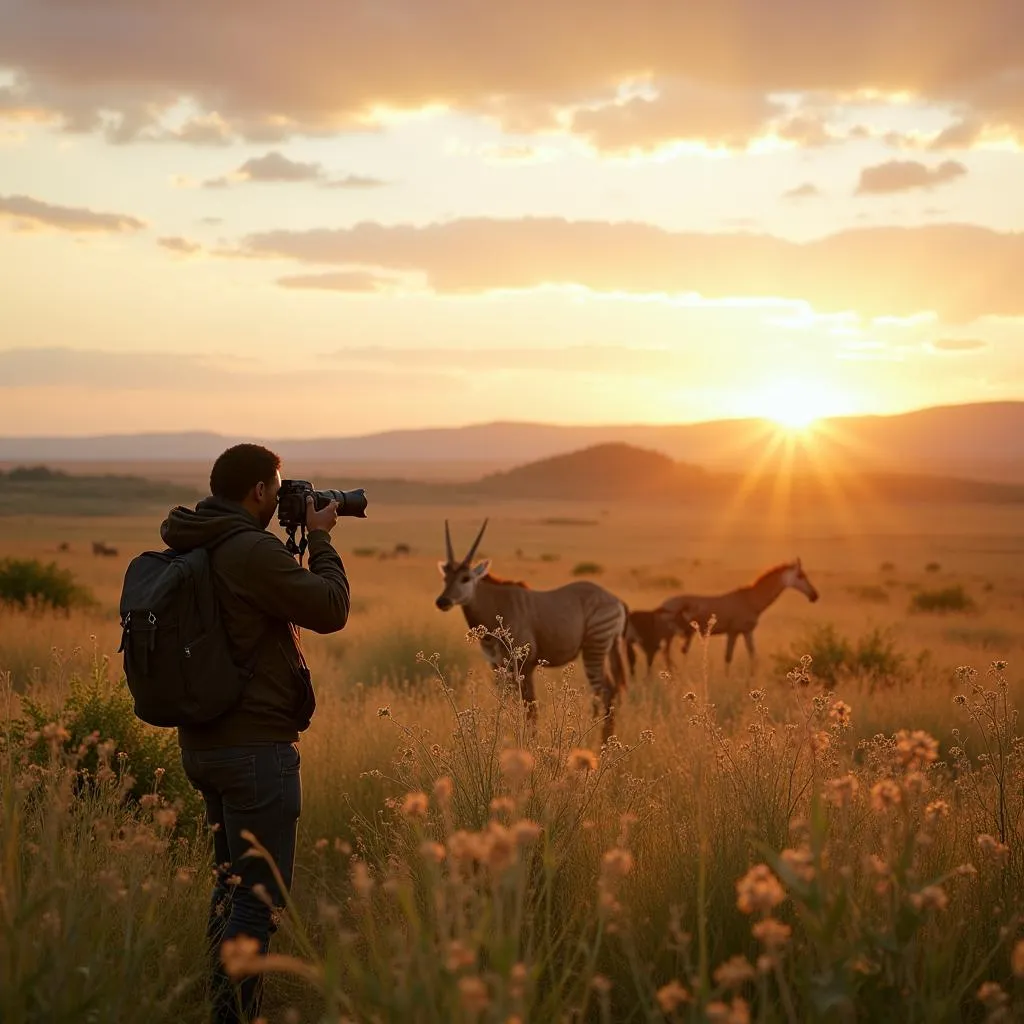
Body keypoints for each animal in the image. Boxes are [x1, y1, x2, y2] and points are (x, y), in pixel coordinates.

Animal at [436, 516, 626, 741]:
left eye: (465, 578)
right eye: (445, 578)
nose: (442, 601)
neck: (496, 604)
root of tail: (616, 601)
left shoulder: (526, 666)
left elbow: (530, 709)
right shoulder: (497, 667)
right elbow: (506, 705)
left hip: (594, 649)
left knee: (604, 692)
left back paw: (597, 743)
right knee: (611, 691)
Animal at [659, 565, 819, 667]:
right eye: (800, 575)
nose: (814, 595)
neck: (751, 601)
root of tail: (663, 604)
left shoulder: (747, 631)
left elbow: (754, 658)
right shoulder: (733, 631)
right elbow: (728, 658)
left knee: (666, 654)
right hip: (670, 634)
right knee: (666, 654)